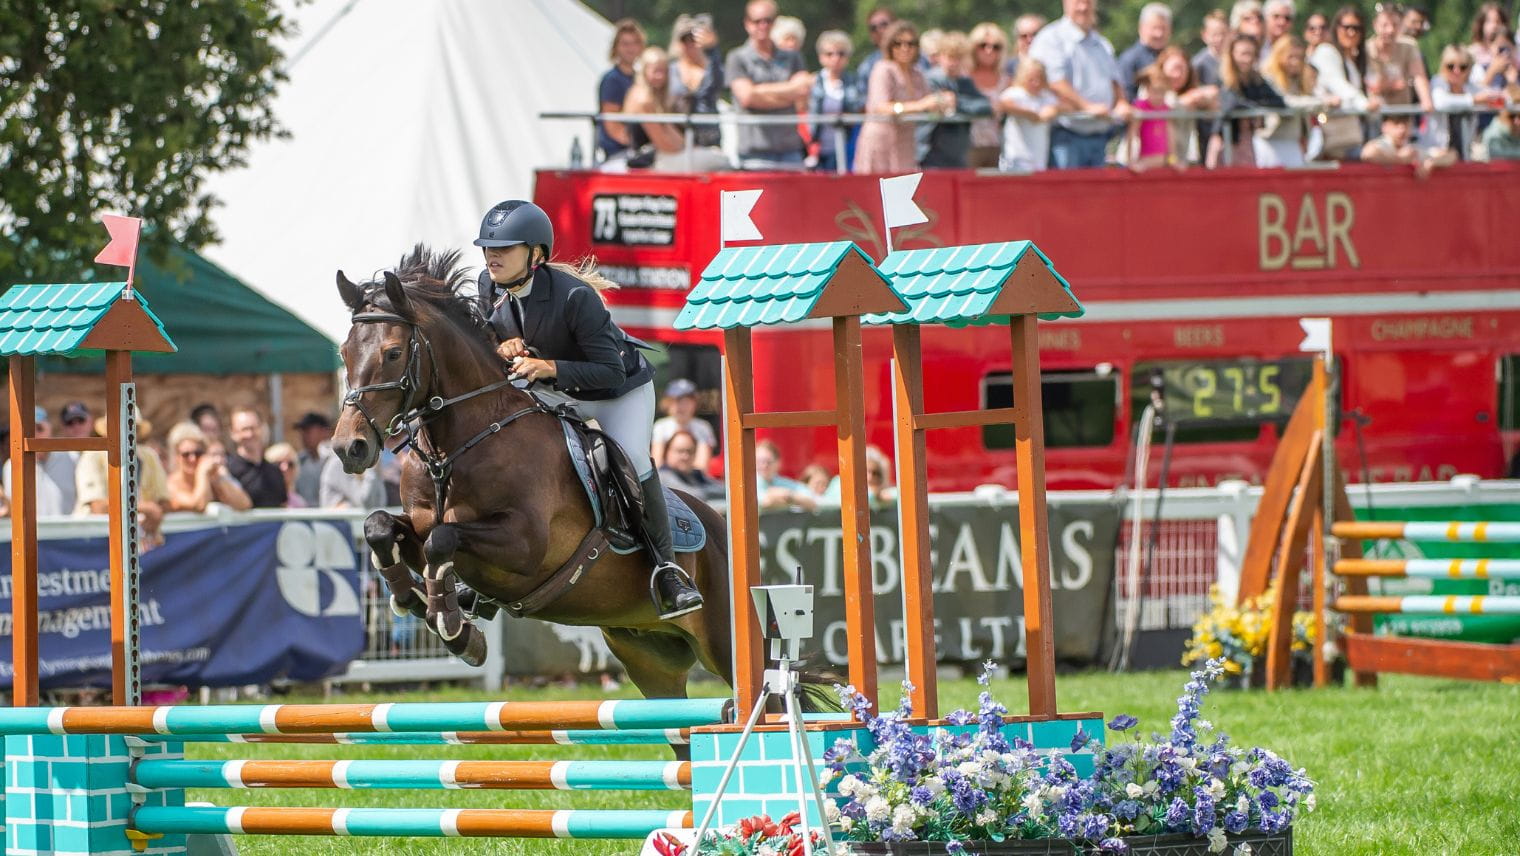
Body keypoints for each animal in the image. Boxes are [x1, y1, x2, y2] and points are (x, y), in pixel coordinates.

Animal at [329, 246, 737, 710]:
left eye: (394, 353)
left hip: (723, 641)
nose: (349, 448)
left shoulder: (525, 546)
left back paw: (676, 588)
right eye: (344, 352)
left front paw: (456, 630)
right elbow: (379, 526)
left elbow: (443, 540)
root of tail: (723, 526)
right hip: (649, 660)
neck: (456, 445)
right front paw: (410, 598)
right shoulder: (419, 525)